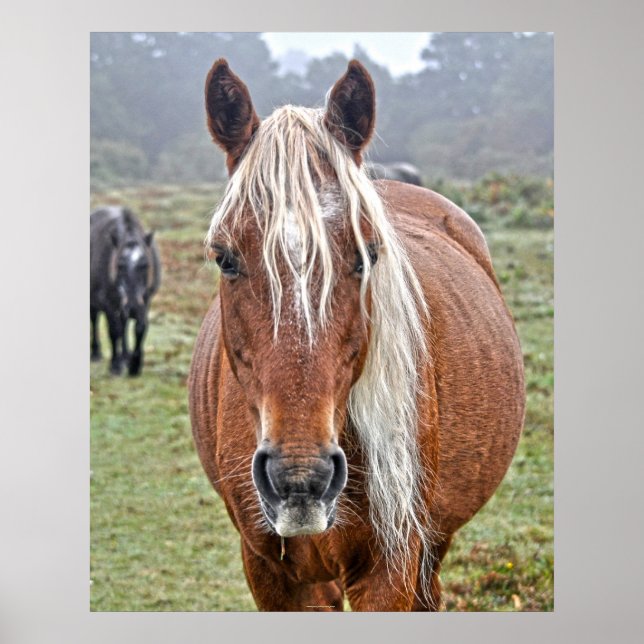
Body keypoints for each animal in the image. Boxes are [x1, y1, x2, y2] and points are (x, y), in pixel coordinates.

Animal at [90, 206, 161, 376]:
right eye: (120, 265)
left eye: (145, 265)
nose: (132, 307)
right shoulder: (109, 304)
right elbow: (114, 331)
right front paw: (115, 365)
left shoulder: (145, 300)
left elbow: (140, 328)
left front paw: (135, 364)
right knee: (95, 319)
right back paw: (96, 353)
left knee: (124, 325)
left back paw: (125, 356)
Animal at [188, 59, 525, 611]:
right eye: (225, 257)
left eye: (366, 255)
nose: (299, 479)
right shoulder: (271, 572)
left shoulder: (391, 566)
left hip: (431, 546)